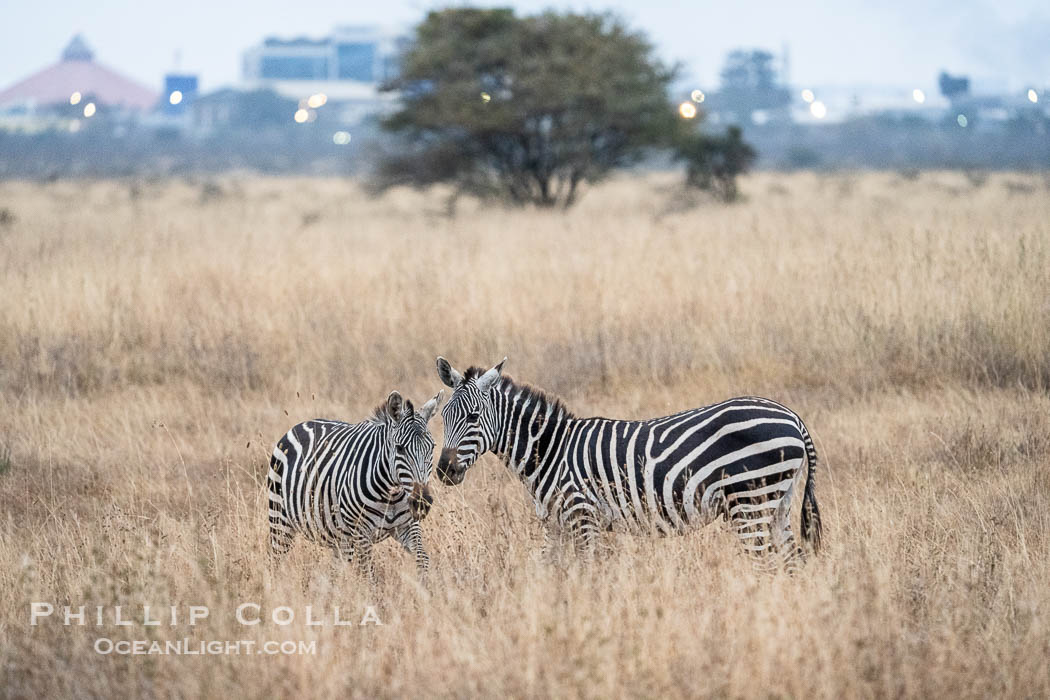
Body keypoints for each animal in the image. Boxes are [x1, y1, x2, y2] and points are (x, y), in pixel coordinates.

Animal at [266, 388, 443, 579]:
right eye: (400, 449)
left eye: (432, 447)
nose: (422, 503)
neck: (391, 494)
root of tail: (302, 424)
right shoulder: (361, 532)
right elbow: (369, 575)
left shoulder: (408, 526)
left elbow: (423, 560)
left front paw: (425, 586)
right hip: (280, 519)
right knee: (275, 559)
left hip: (341, 540)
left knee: (335, 572)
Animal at [432, 356, 818, 570]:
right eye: (444, 416)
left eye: (473, 416)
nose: (444, 471)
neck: (551, 451)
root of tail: (794, 418)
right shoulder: (556, 526)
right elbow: (544, 572)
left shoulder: (582, 517)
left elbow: (588, 574)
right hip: (777, 504)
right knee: (791, 563)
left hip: (749, 503)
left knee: (765, 564)